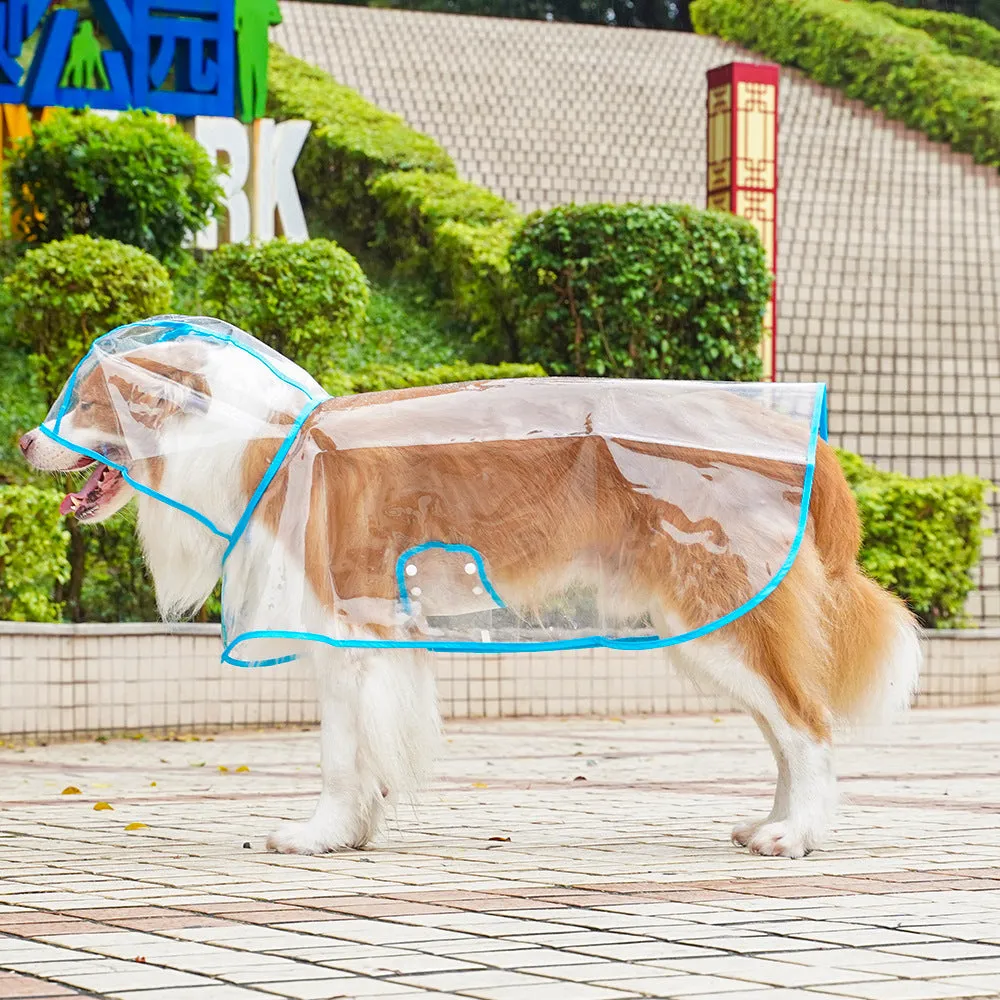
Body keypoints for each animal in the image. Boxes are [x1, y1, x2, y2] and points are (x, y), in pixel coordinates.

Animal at [17, 324, 920, 856]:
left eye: (85, 405)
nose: (23, 440)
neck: (261, 444)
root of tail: (791, 433)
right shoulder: (359, 636)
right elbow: (362, 747)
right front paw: (355, 830)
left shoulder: (349, 626)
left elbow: (339, 752)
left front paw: (319, 833)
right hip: (712, 627)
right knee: (785, 728)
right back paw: (775, 822)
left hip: (718, 612)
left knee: (808, 724)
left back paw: (798, 836)